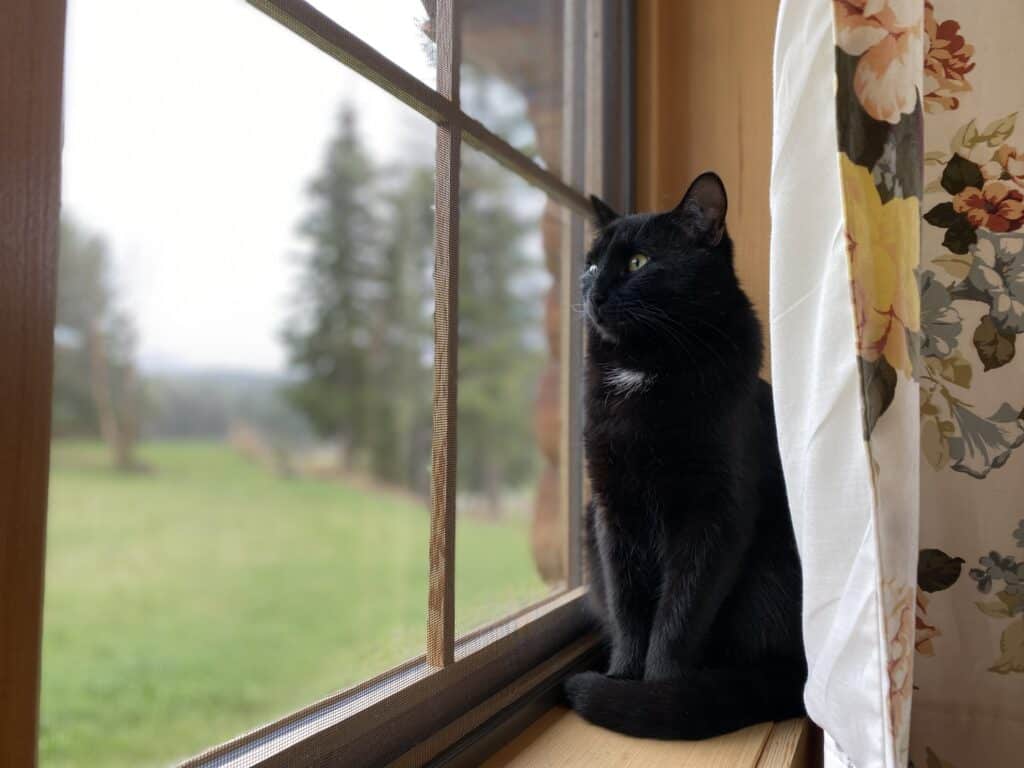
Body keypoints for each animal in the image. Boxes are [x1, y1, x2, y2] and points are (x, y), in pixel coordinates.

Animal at [561, 173, 806, 741]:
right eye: (590, 265)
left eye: (638, 262)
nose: (593, 292)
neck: (645, 371)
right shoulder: (612, 509)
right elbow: (629, 605)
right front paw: (624, 675)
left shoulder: (714, 516)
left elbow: (680, 612)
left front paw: (656, 692)